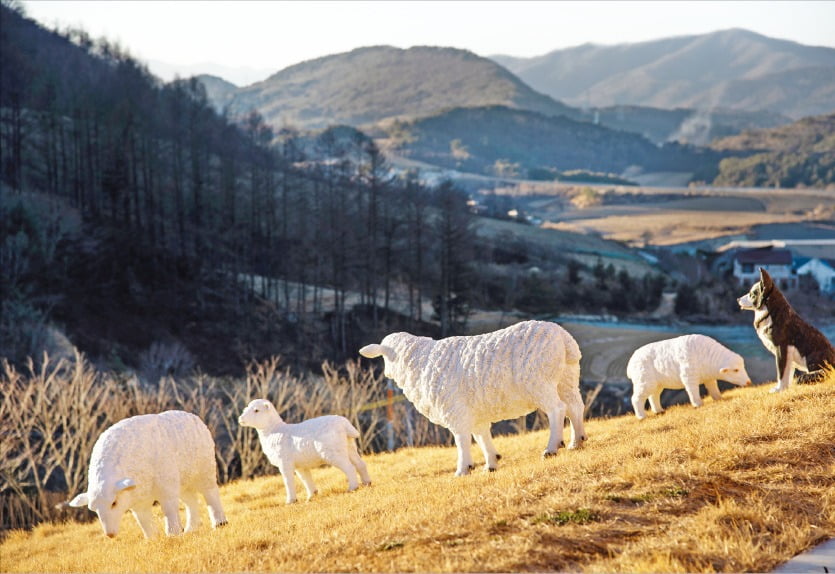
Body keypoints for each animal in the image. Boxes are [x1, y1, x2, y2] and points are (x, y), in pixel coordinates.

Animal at [69, 414, 229, 540]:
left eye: (114, 503)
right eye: (93, 509)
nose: (110, 534)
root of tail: (196, 418)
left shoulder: (166, 484)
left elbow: (169, 508)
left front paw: (173, 534)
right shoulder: (138, 499)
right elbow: (142, 519)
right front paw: (152, 538)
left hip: (205, 470)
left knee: (210, 493)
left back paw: (219, 523)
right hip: (184, 481)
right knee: (191, 500)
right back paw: (191, 529)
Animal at [237, 398, 370, 506]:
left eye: (256, 410)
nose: (240, 419)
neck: (273, 430)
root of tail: (345, 424)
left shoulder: (284, 463)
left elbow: (288, 481)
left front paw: (290, 501)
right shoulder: (300, 466)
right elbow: (305, 479)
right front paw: (311, 496)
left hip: (333, 451)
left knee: (349, 467)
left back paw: (352, 487)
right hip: (349, 446)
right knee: (360, 464)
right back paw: (367, 483)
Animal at [360, 322, 588, 480]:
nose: (387, 374)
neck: (420, 361)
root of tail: (564, 338)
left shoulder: (454, 409)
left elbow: (461, 440)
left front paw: (463, 469)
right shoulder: (475, 413)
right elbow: (481, 436)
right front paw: (491, 463)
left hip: (539, 380)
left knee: (557, 409)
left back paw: (552, 448)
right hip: (566, 378)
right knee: (575, 407)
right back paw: (576, 442)